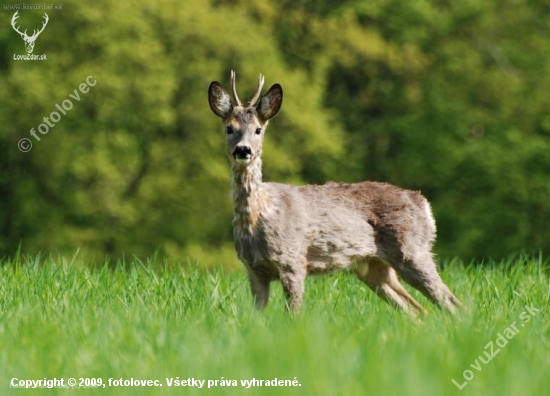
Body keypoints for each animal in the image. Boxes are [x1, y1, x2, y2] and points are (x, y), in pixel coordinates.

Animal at [209, 71, 464, 316]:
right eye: (229, 128)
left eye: (258, 130)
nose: (243, 150)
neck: (258, 216)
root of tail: (423, 203)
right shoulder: (253, 270)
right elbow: (257, 318)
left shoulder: (293, 260)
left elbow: (293, 314)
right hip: (373, 268)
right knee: (418, 310)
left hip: (412, 250)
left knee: (452, 303)